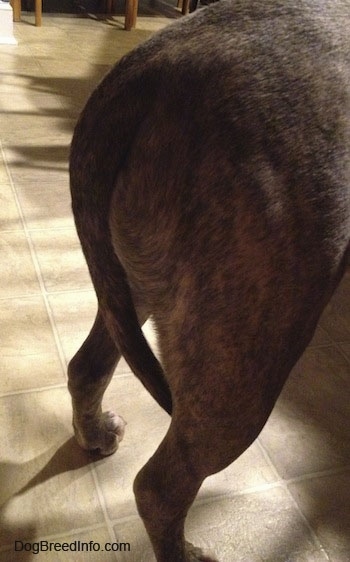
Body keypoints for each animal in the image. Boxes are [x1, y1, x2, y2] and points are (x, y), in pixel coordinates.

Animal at [67, 2, 348, 556]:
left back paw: (95, 434)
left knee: (87, 367)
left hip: (130, 290)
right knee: (160, 488)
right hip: (246, 363)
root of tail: (147, 75)